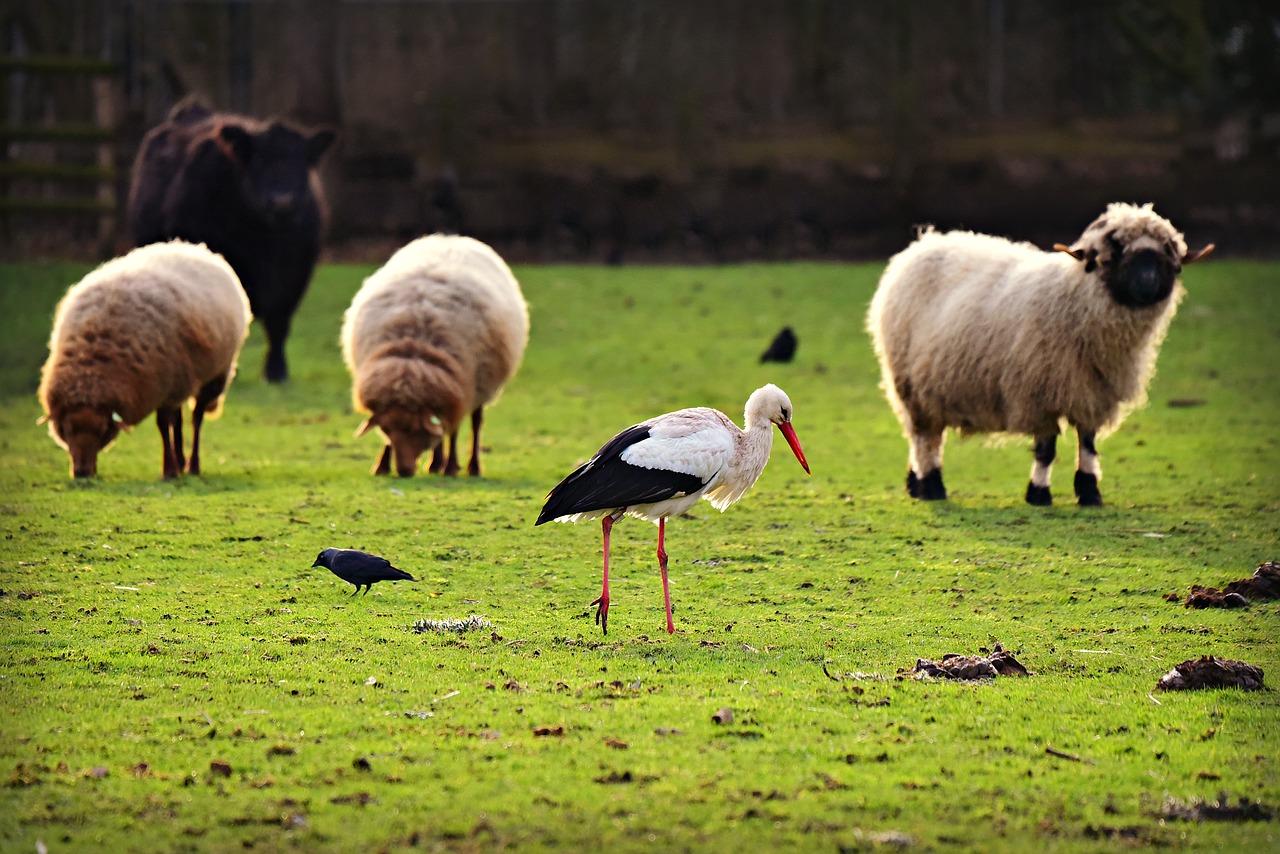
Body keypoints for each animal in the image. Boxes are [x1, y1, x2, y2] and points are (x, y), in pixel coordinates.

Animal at [36, 240, 252, 481]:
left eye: (102, 431)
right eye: (67, 430)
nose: (82, 473)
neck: (93, 361)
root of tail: (191, 247)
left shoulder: (166, 380)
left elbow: (162, 425)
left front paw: (168, 470)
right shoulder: (168, 383)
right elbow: (169, 423)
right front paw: (172, 467)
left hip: (212, 374)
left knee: (196, 417)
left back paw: (192, 465)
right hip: (179, 380)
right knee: (178, 419)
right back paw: (181, 461)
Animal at [128, 94, 337, 384]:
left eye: (302, 163)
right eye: (258, 162)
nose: (282, 202)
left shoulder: (295, 275)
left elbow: (279, 323)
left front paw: (277, 372)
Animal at [340, 234, 529, 478]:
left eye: (415, 430)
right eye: (386, 429)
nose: (404, 471)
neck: (412, 356)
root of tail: (450, 238)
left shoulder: (462, 384)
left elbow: (453, 429)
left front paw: (451, 467)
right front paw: (382, 465)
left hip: (480, 383)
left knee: (474, 422)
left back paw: (470, 466)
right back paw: (436, 463)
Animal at [865, 203, 1213, 504]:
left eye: (1167, 261)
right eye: (1112, 257)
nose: (1148, 285)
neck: (1072, 301)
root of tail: (924, 243)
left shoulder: (1091, 392)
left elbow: (1088, 444)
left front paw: (1090, 493)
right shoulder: (1040, 391)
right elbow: (1046, 449)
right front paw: (1039, 494)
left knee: (925, 437)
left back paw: (915, 483)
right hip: (911, 384)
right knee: (924, 437)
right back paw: (931, 485)